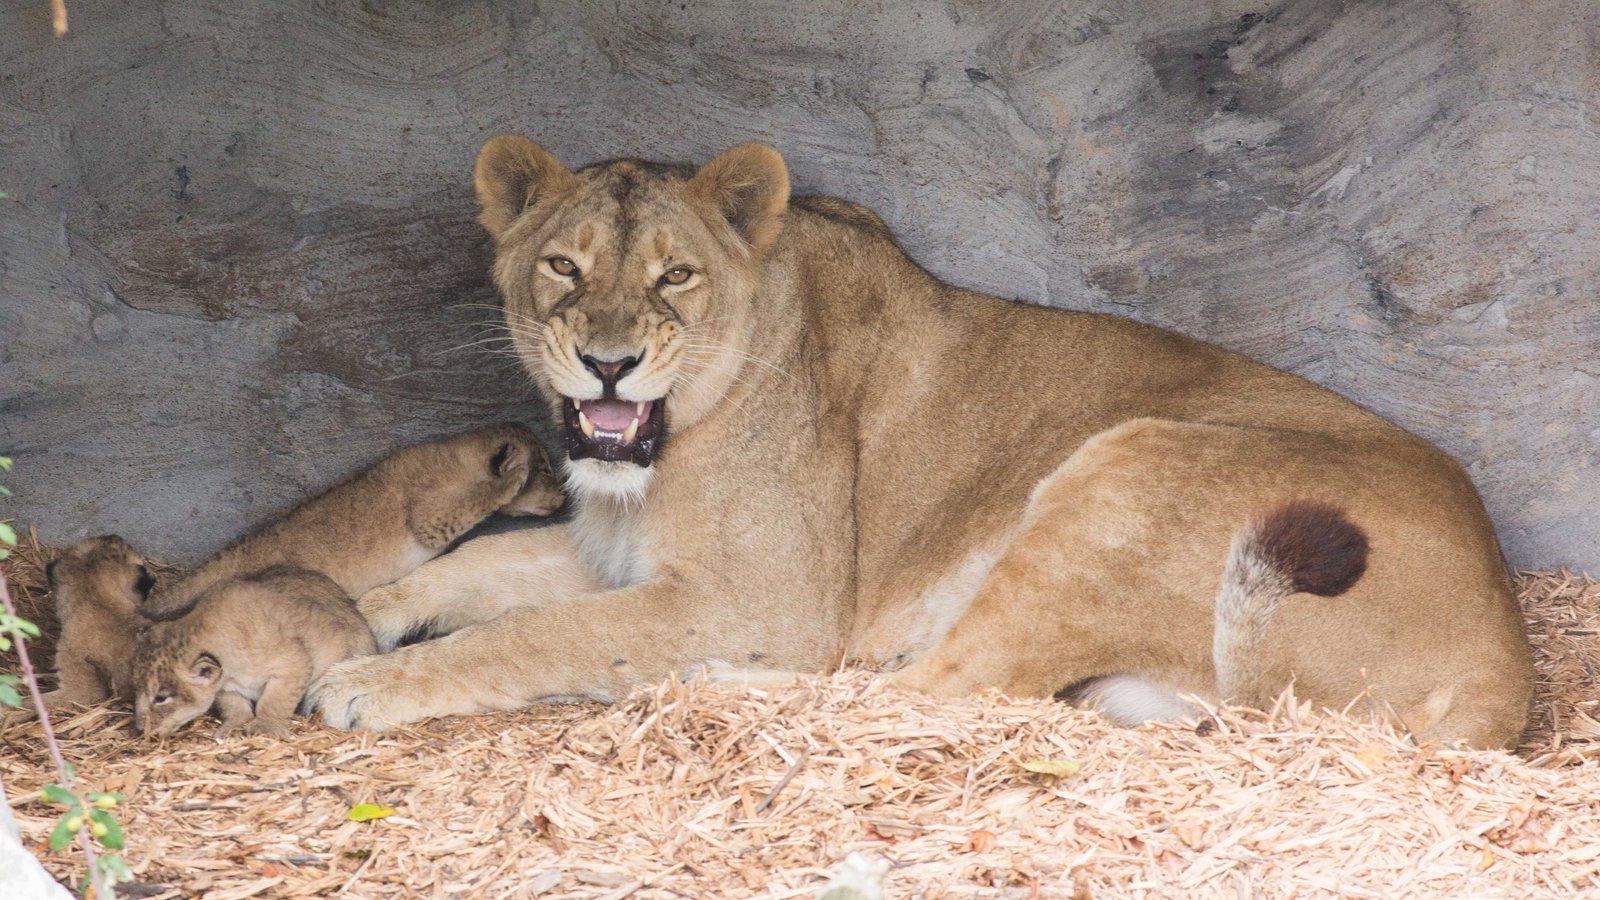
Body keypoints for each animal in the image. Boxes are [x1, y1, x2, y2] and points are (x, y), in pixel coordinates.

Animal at [302, 138, 1536, 743]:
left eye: (674, 276)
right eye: (562, 267)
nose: (607, 363)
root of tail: (1506, 658)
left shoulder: (765, 596)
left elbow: (537, 635)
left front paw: (364, 683)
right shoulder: (618, 547)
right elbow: (482, 567)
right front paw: (340, 617)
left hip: (1128, 468)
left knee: (924, 689)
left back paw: (709, 682)